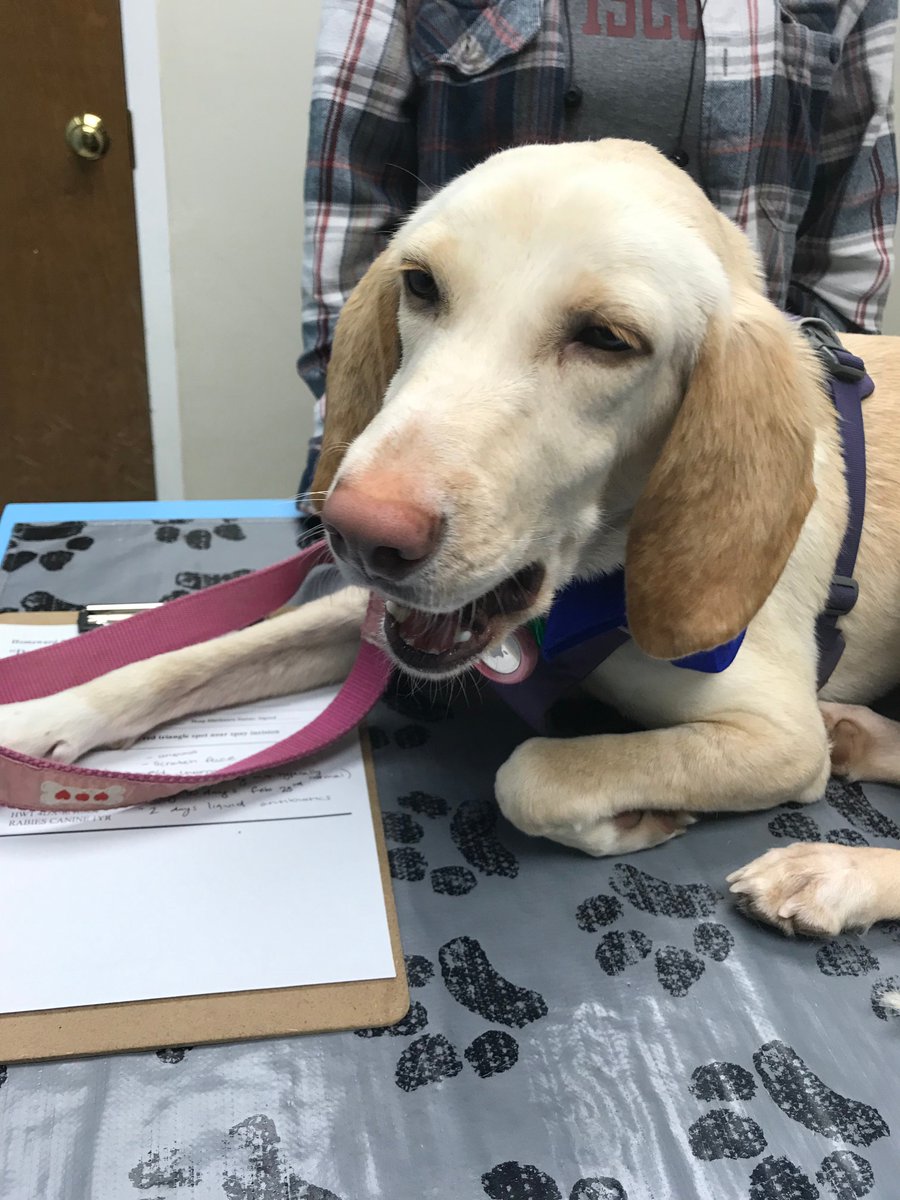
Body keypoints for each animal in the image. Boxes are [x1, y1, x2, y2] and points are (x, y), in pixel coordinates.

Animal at [5, 138, 900, 955]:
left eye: (608, 339)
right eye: (421, 284)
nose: (360, 532)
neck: (571, 603)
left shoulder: (777, 738)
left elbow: (531, 774)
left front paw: (643, 813)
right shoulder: (369, 616)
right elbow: (190, 658)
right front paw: (47, 715)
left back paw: (830, 871)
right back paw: (860, 737)